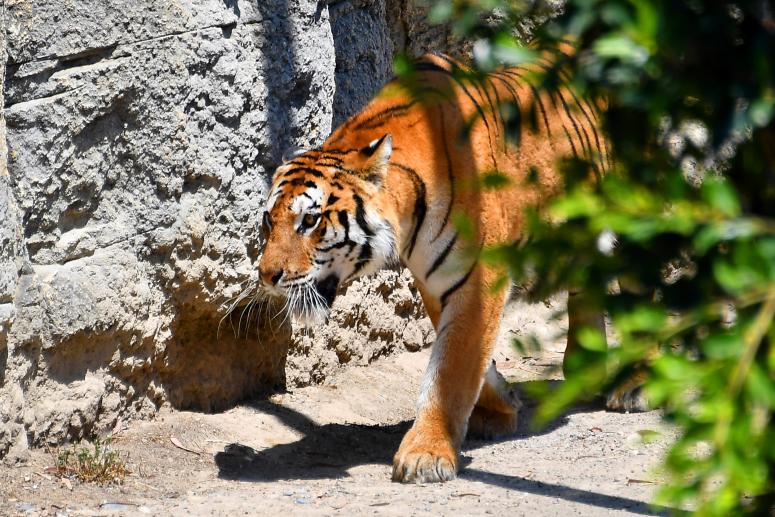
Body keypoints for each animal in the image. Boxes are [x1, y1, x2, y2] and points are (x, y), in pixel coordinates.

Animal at [258, 50, 620, 482]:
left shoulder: (479, 278)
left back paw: (632, 386)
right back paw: (586, 369)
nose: (266, 276)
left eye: (310, 221)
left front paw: (427, 453)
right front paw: (499, 407)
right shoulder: (436, 280)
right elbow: (469, 359)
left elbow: (452, 369)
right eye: (268, 221)